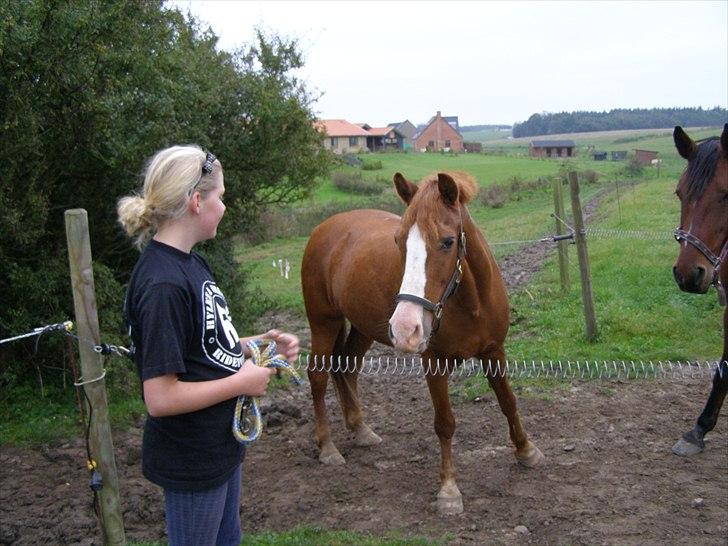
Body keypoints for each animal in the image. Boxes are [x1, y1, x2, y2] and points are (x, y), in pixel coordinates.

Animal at [298, 170, 544, 510]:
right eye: (398, 241)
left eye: (448, 241)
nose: (405, 328)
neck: (470, 302)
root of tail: (323, 228)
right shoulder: (435, 364)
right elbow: (445, 423)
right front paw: (449, 489)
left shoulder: (494, 351)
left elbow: (508, 402)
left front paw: (526, 450)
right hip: (324, 322)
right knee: (318, 377)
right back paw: (327, 447)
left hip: (362, 328)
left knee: (346, 367)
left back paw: (361, 429)